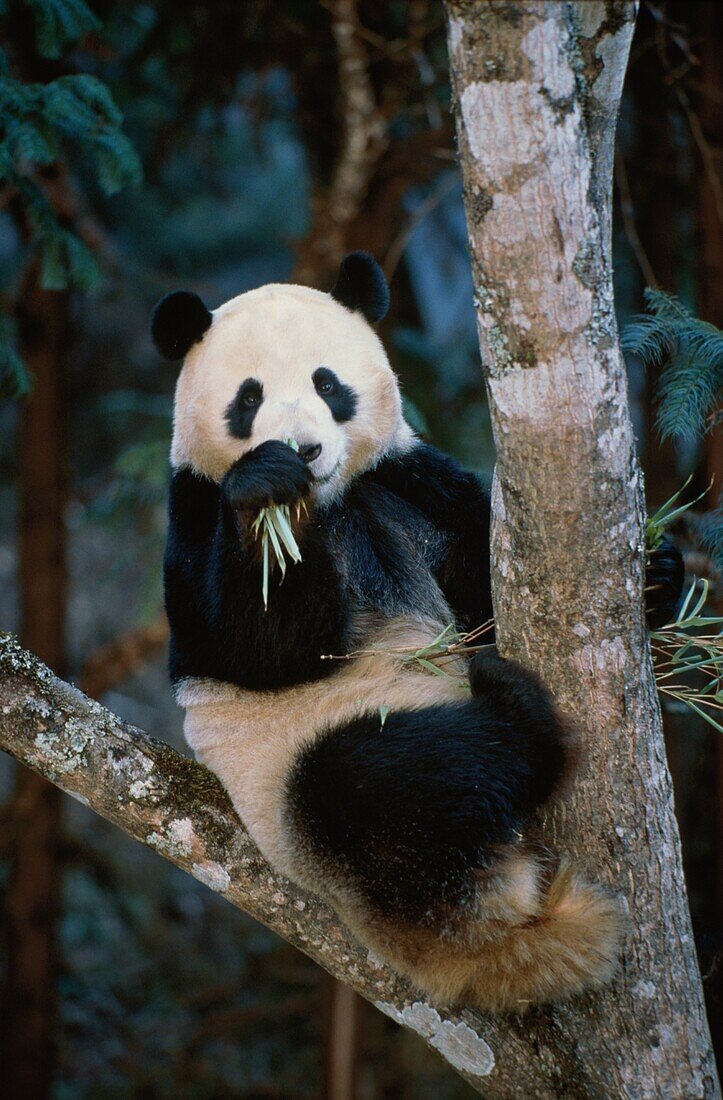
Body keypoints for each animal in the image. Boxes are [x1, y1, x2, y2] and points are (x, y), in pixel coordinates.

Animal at [154, 251, 682, 1012]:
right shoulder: (194, 509)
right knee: (381, 783)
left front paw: (658, 576)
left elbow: (481, 575)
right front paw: (268, 494)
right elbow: (253, 647)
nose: (304, 450)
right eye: (248, 400)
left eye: (327, 384)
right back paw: (513, 712)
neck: (330, 503)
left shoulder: (403, 480)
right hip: (306, 801)